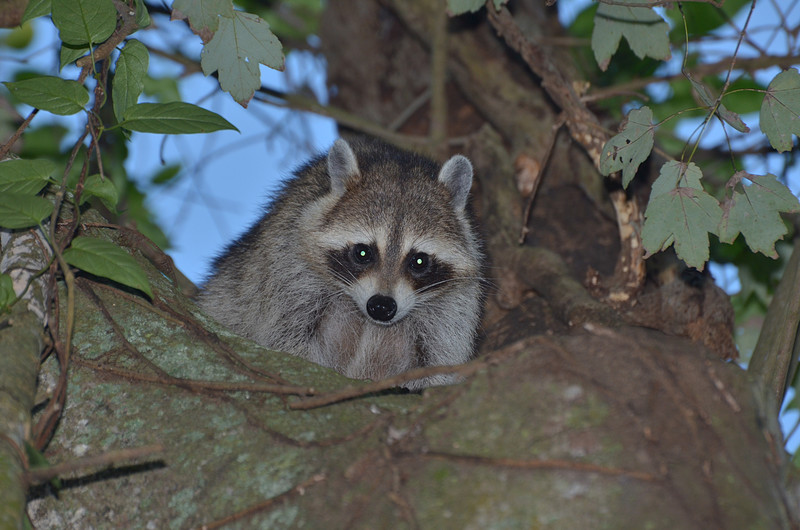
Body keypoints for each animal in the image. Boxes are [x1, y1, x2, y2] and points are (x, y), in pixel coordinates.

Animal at [199, 137, 485, 390]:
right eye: (363, 253)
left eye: (419, 261)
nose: (381, 306)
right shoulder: (289, 264)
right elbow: (284, 337)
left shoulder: (454, 304)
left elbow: (441, 358)